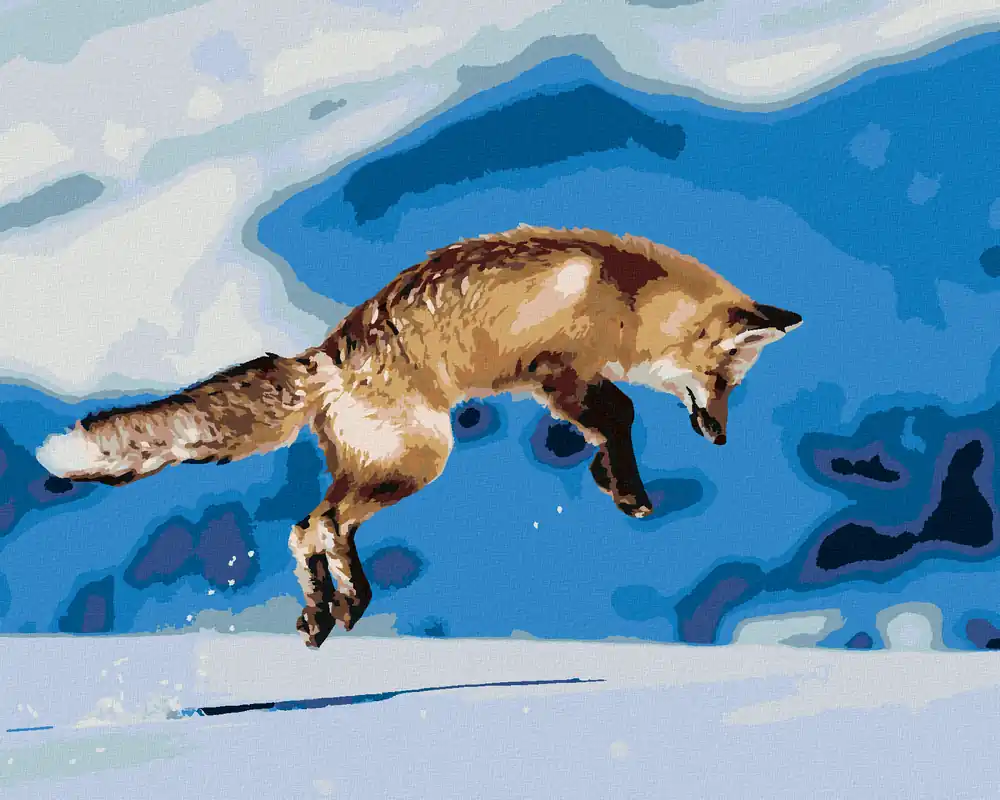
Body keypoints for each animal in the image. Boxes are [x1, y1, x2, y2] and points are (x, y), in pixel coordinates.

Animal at [35, 225, 802, 648]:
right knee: (321, 525)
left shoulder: (556, 387)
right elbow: (619, 417)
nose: (720, 438)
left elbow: (605, 428)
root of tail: (326, 356)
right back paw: (342, 602)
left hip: (380, 465)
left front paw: (607, 480)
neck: (627, 296)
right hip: (418, 462)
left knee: (306, 528)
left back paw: (327, 611)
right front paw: (629, 492)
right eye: (723, 380)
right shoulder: (559, 371)